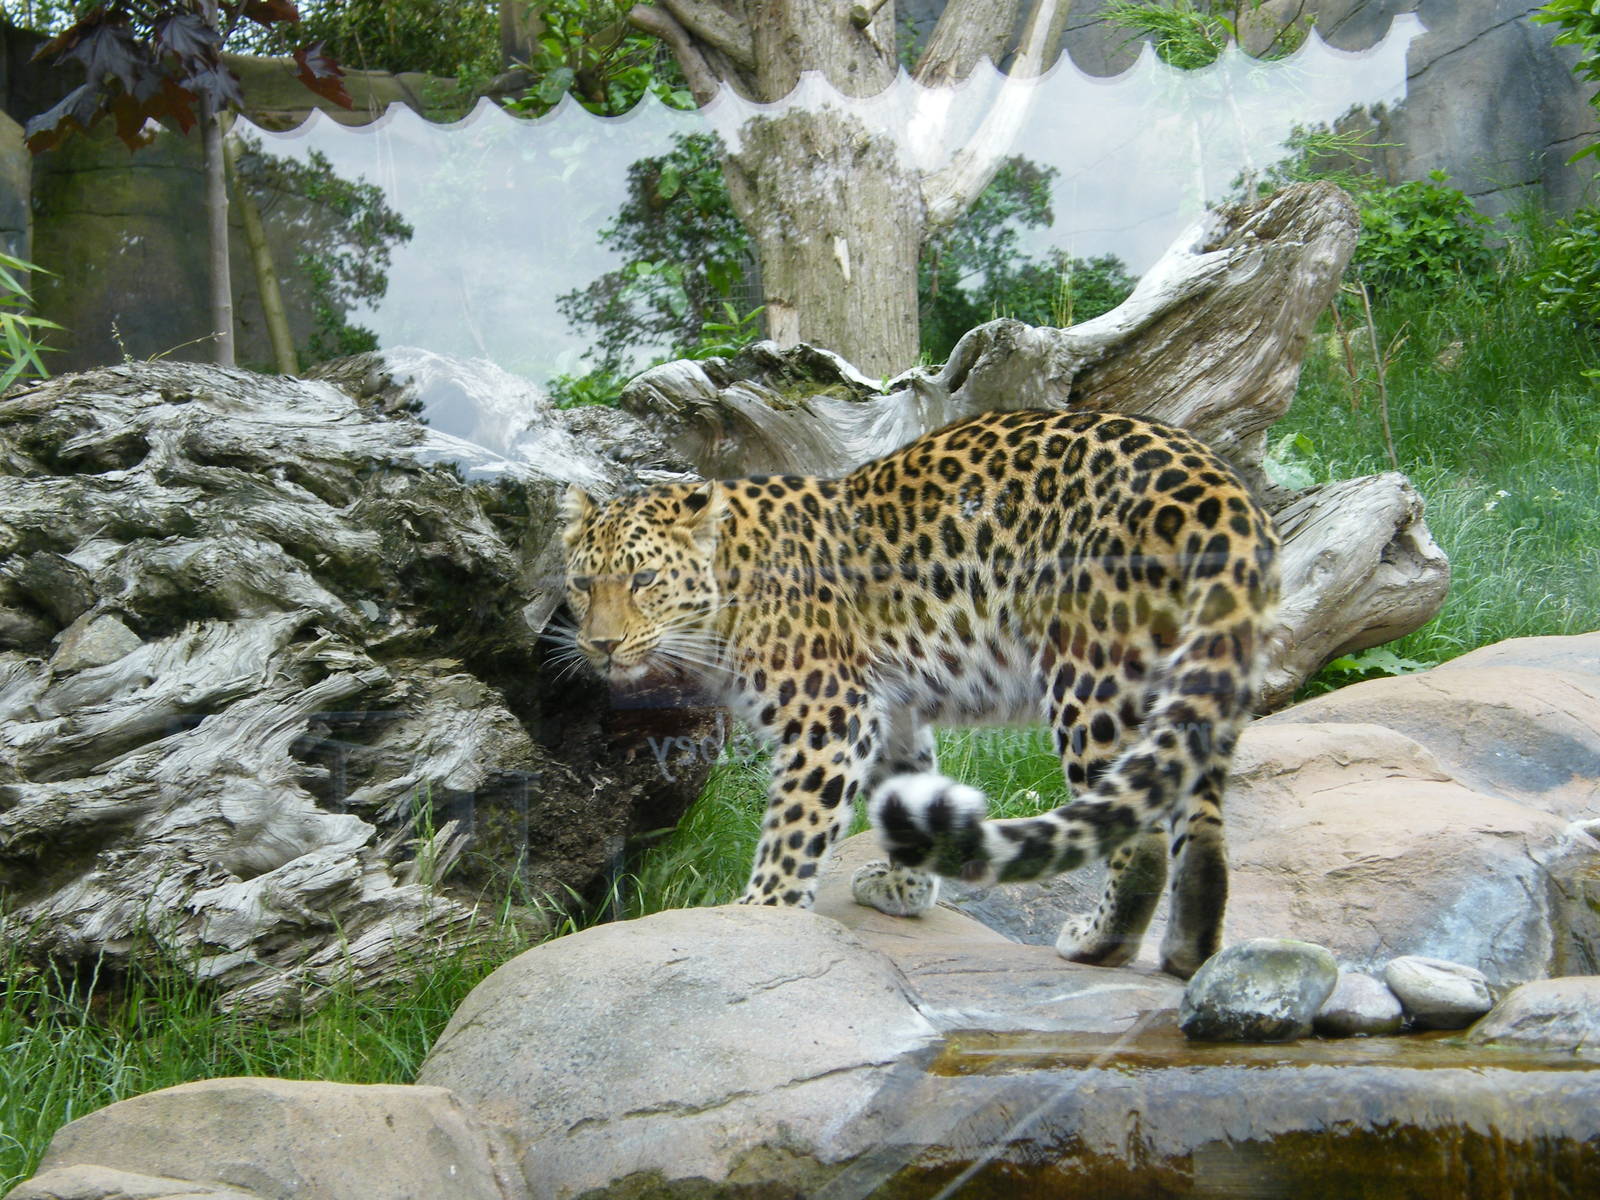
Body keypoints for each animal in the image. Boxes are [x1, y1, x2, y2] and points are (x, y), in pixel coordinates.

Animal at [560, 406, 1279, 977]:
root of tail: (1217, 484)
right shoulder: (890, 706)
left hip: (1090, 675)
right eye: (582, 584)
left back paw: (1100, 941)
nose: (601, 645)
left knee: (1141, 832)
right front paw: (904, 887)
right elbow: (903, 785)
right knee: (1200, 826)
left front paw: (763, 914)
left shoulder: (831, 710)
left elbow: (796, 823)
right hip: (1201, 680)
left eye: (645, 579)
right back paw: (1188, 954)